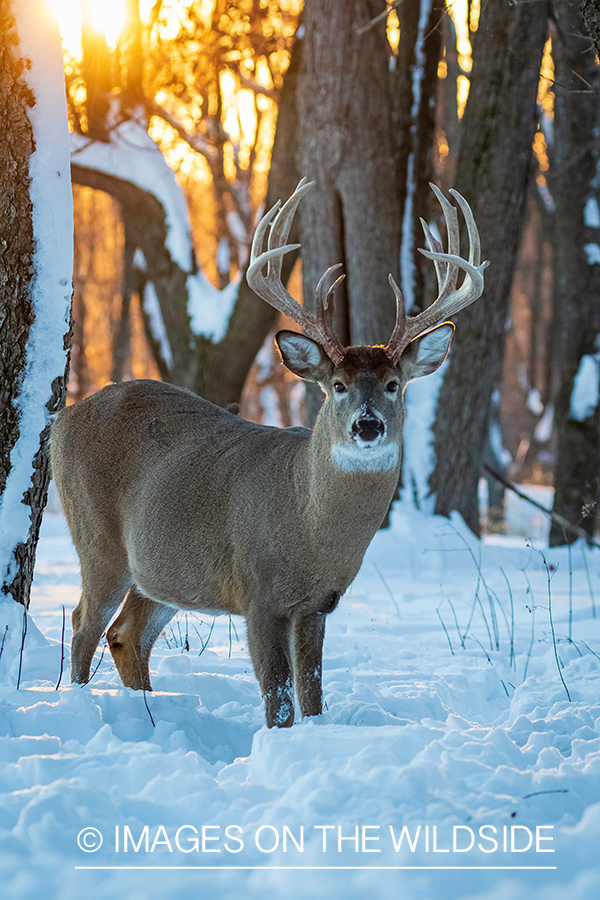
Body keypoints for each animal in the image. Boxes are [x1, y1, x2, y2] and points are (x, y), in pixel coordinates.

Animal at [49, 179, 486, 728]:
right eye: (337, 385)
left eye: (393, 384)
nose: (368, 425)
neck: (309, 524)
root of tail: (61, 420)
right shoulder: (259, 593)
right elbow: (279, 700)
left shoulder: (317, 604)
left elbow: (312, 694)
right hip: (97, 539)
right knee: (84, 622)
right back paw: (81, 704)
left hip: (163, 569)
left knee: (127, 634)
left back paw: (146, 710)